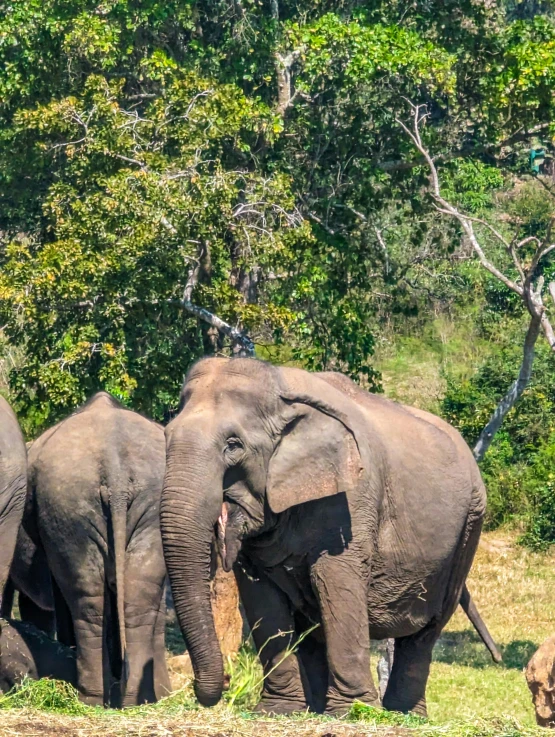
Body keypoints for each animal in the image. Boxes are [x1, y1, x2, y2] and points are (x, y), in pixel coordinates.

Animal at [24, 392, 172, 708]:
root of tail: (115, 467)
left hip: (67, 508)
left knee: (85, 598)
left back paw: (91, 698)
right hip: (133, 504)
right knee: (136, 597)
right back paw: (133, 699)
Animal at [162, 356, 490, 712]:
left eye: (233, 445)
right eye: (166, 436)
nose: (221, 684)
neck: (282, 388)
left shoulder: (351, 498)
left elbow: (334, 579)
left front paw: (355, 711)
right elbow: (261, 595)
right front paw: (280, 710)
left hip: (470, 525)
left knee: (427, 629)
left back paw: (403, 713)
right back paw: (320, 708)